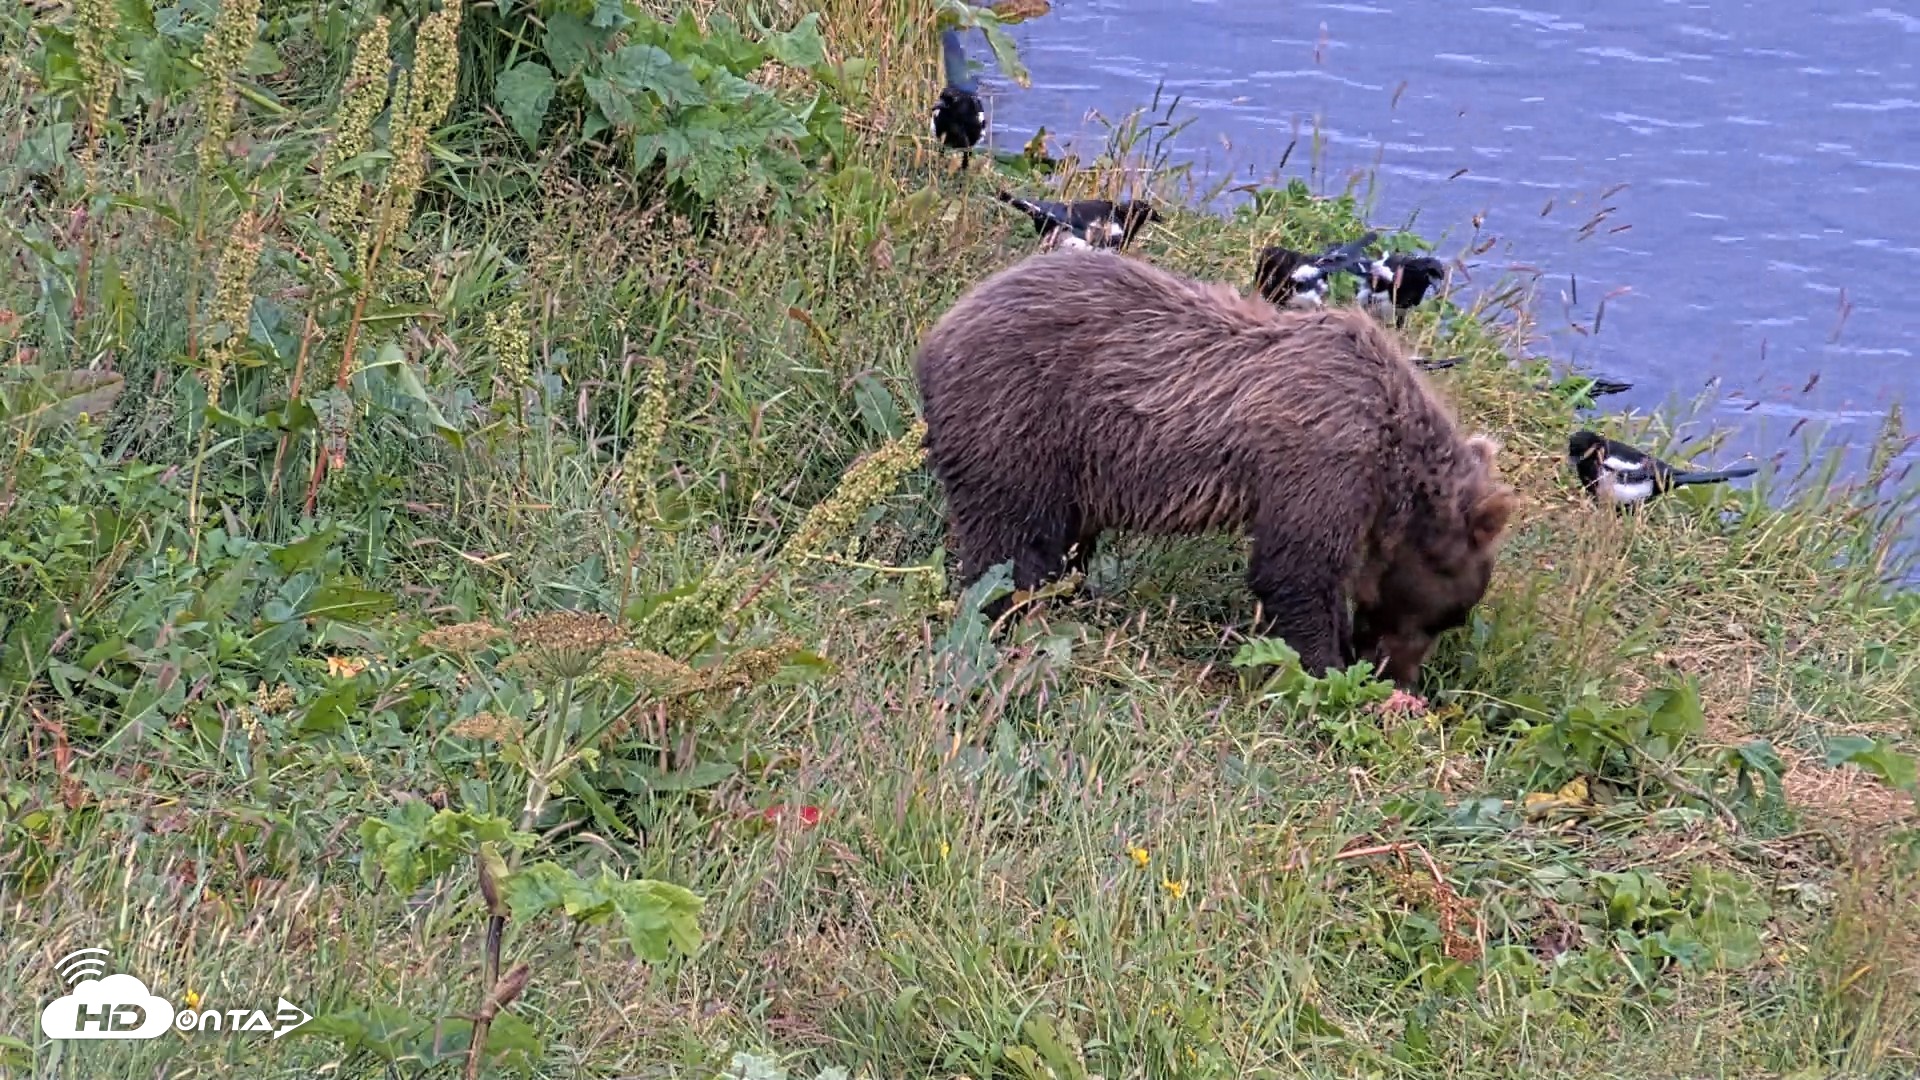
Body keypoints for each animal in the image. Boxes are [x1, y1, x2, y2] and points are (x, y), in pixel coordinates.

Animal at [912, 247, 1516, 690]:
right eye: (1450, 614)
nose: (1402, 680)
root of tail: (940, 330)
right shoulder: (1322, 455)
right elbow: (1297, 570)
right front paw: (1326, 665)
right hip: (1020, 418)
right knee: (1010, 540)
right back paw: (1008, 611)